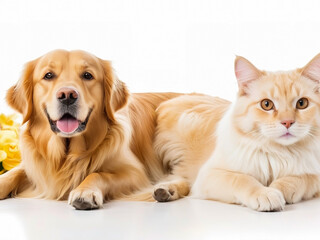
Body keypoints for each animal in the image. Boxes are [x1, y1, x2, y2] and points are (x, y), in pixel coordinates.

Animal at [0, 49, 180, 209]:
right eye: (48, 75)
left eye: (87, 75)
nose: (67, 95)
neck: (67, 156)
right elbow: (14, 172)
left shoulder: (136, 174)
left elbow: (98, 174)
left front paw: (85, 192)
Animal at [151, 54, 320, 210]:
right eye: (266, 104)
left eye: (302, 103)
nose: (287, 122)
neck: (278, 152)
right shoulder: (209, 174)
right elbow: (243, 179)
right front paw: (265, 194)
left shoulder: (314, 176)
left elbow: (301, 179)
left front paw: (279, 189)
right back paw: (163, 191)